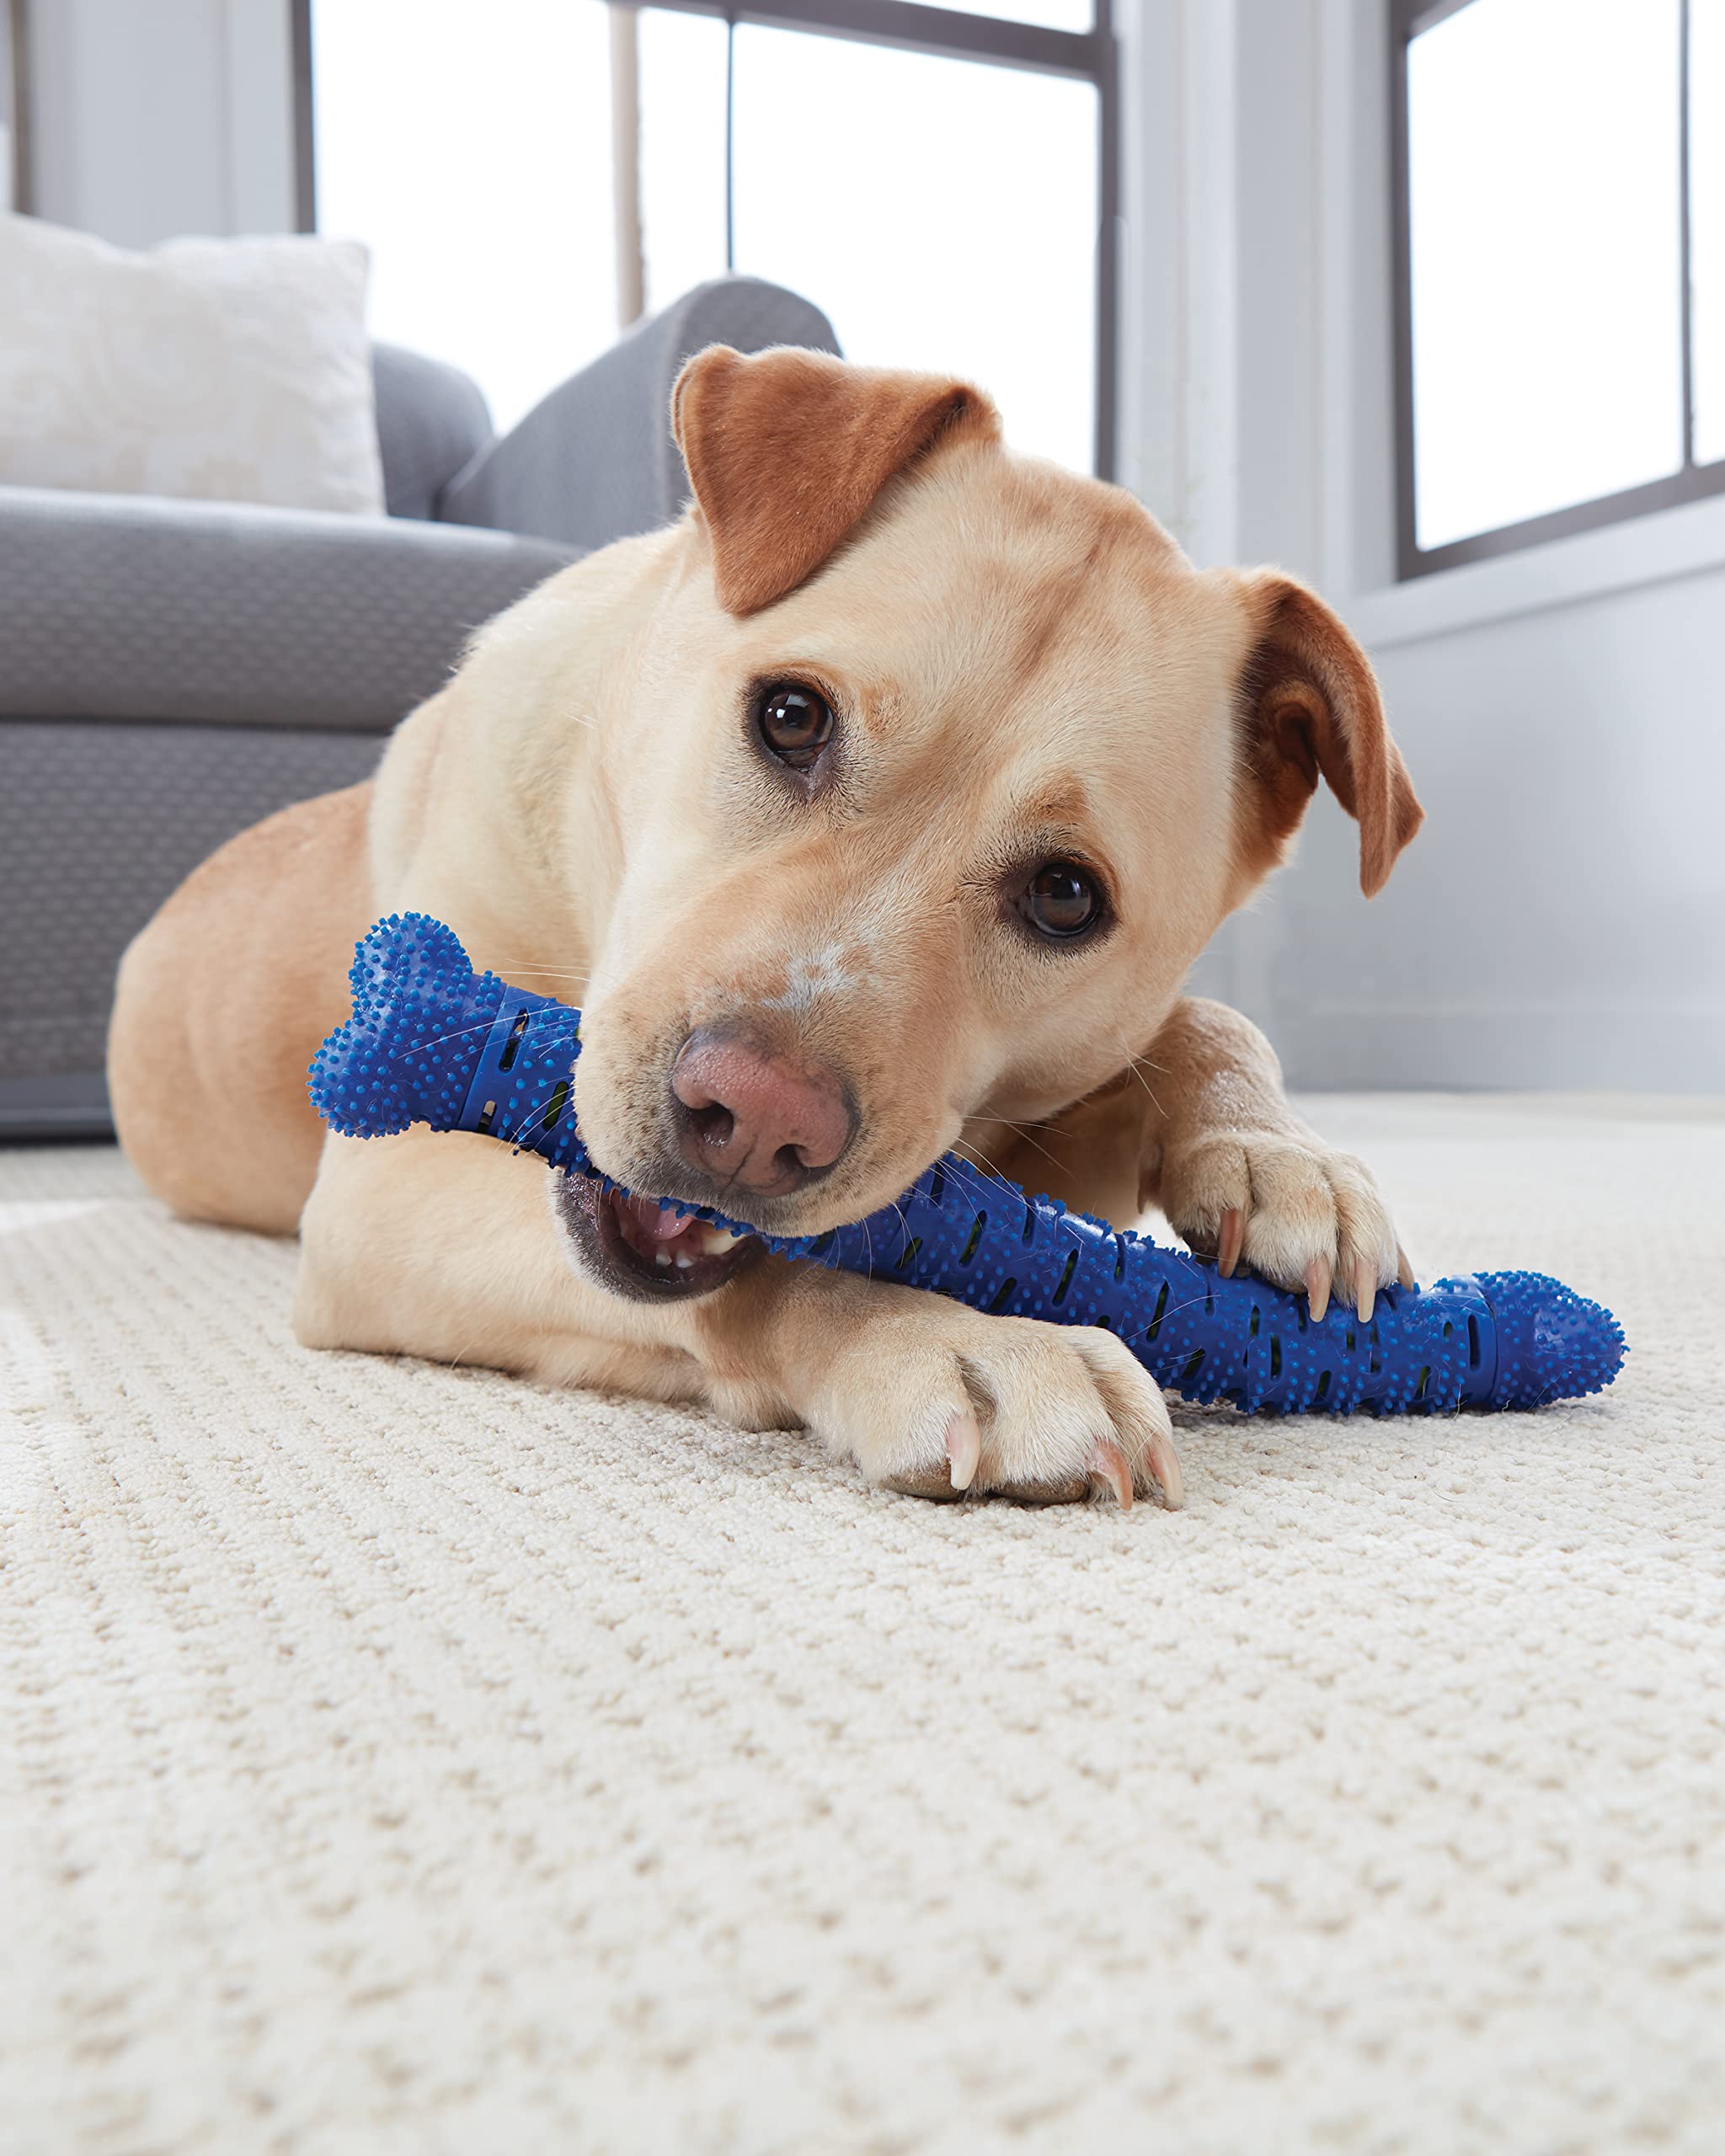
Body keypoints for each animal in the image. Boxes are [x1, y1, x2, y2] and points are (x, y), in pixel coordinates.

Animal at [109, 345, 1423, 1509]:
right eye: (790, 717)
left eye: (1066, 897)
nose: (753, 1123)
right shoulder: (379, 1191)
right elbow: (786, 1278)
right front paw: (958, 1337)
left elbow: (1208, 1018)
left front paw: (1280, 1156)